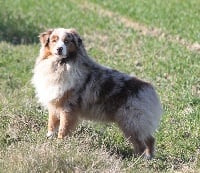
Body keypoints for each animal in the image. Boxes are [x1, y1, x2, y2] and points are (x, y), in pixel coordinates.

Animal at [31, 27, 162, 159]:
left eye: (67, 41)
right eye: (54, 40)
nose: (59, 49)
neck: (60, 64)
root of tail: (149, 88)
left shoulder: (68, 108)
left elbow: (63, 129)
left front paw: (60, 144)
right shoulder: (54, 104)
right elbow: (52, 124)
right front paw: (49, 138)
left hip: (131, 122)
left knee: (142, 144)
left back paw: (139, 159)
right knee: (150, 139)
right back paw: (149, 157)